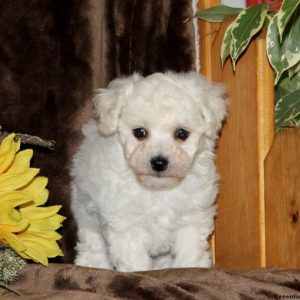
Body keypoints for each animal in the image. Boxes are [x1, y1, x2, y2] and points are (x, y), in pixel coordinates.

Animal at [71, 72, 225, 272]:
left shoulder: (192, 218)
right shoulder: (126, 224)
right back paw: (92, 264)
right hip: (85, 209)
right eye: (139, 132)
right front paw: (138, 273)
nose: (159, 162)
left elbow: (190, 251)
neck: (158, 189)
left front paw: (192, 268)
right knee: (92, 240)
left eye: (182, 133)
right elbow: (134, 259)